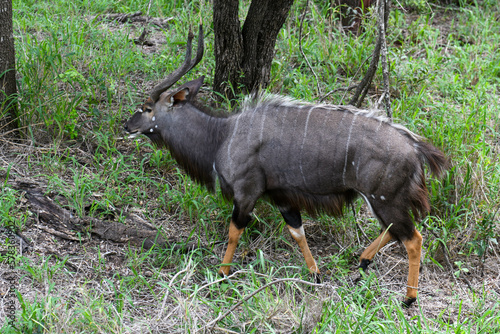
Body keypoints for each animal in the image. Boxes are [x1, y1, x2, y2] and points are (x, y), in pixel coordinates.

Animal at [126, 26, 450, 308]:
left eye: (147, 108)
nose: (127, 125)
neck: (222, 136)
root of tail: (416, 147)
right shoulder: (281, 197)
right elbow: (297, 232)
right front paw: (315, 275)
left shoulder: (247, 192)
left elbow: (235, 231)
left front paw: (221, 274)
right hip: (382, 201)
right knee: (394, 230)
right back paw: (362, 263)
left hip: (384, 198)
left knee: (413, 238)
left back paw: (408, 298)